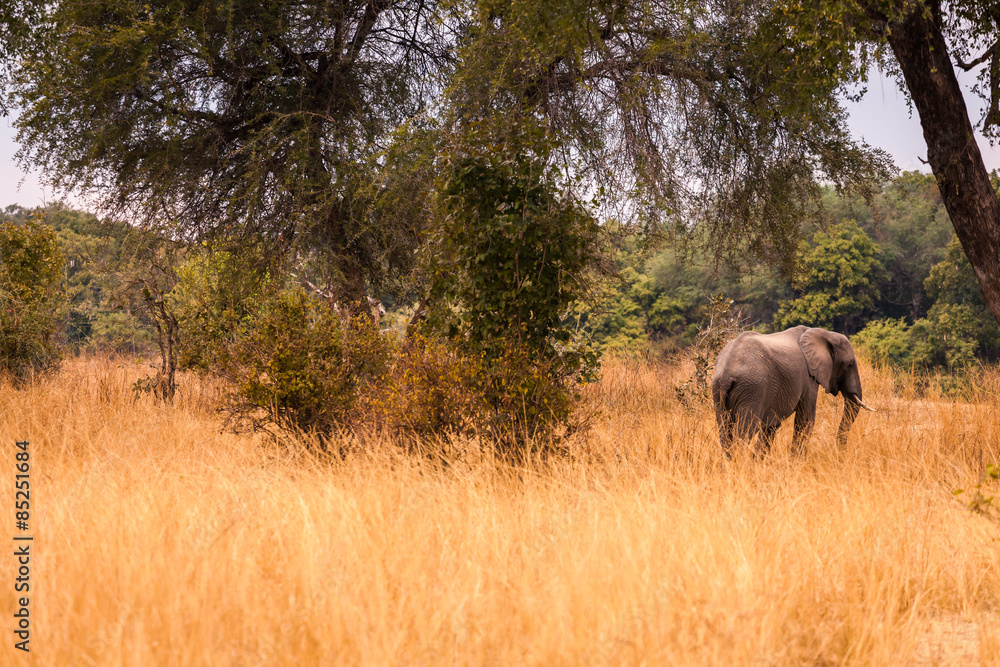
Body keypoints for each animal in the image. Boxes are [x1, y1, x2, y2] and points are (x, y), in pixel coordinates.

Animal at [710, 325, 874, 456]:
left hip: (719, 390)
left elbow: (771, 426)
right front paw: (797, 463)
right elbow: (806, 420)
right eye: (850, 364)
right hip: (752, 389)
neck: (824, 334)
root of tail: (727, 373)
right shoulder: (809, 378)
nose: (841, 455)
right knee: (743, 432)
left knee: (725, 432)